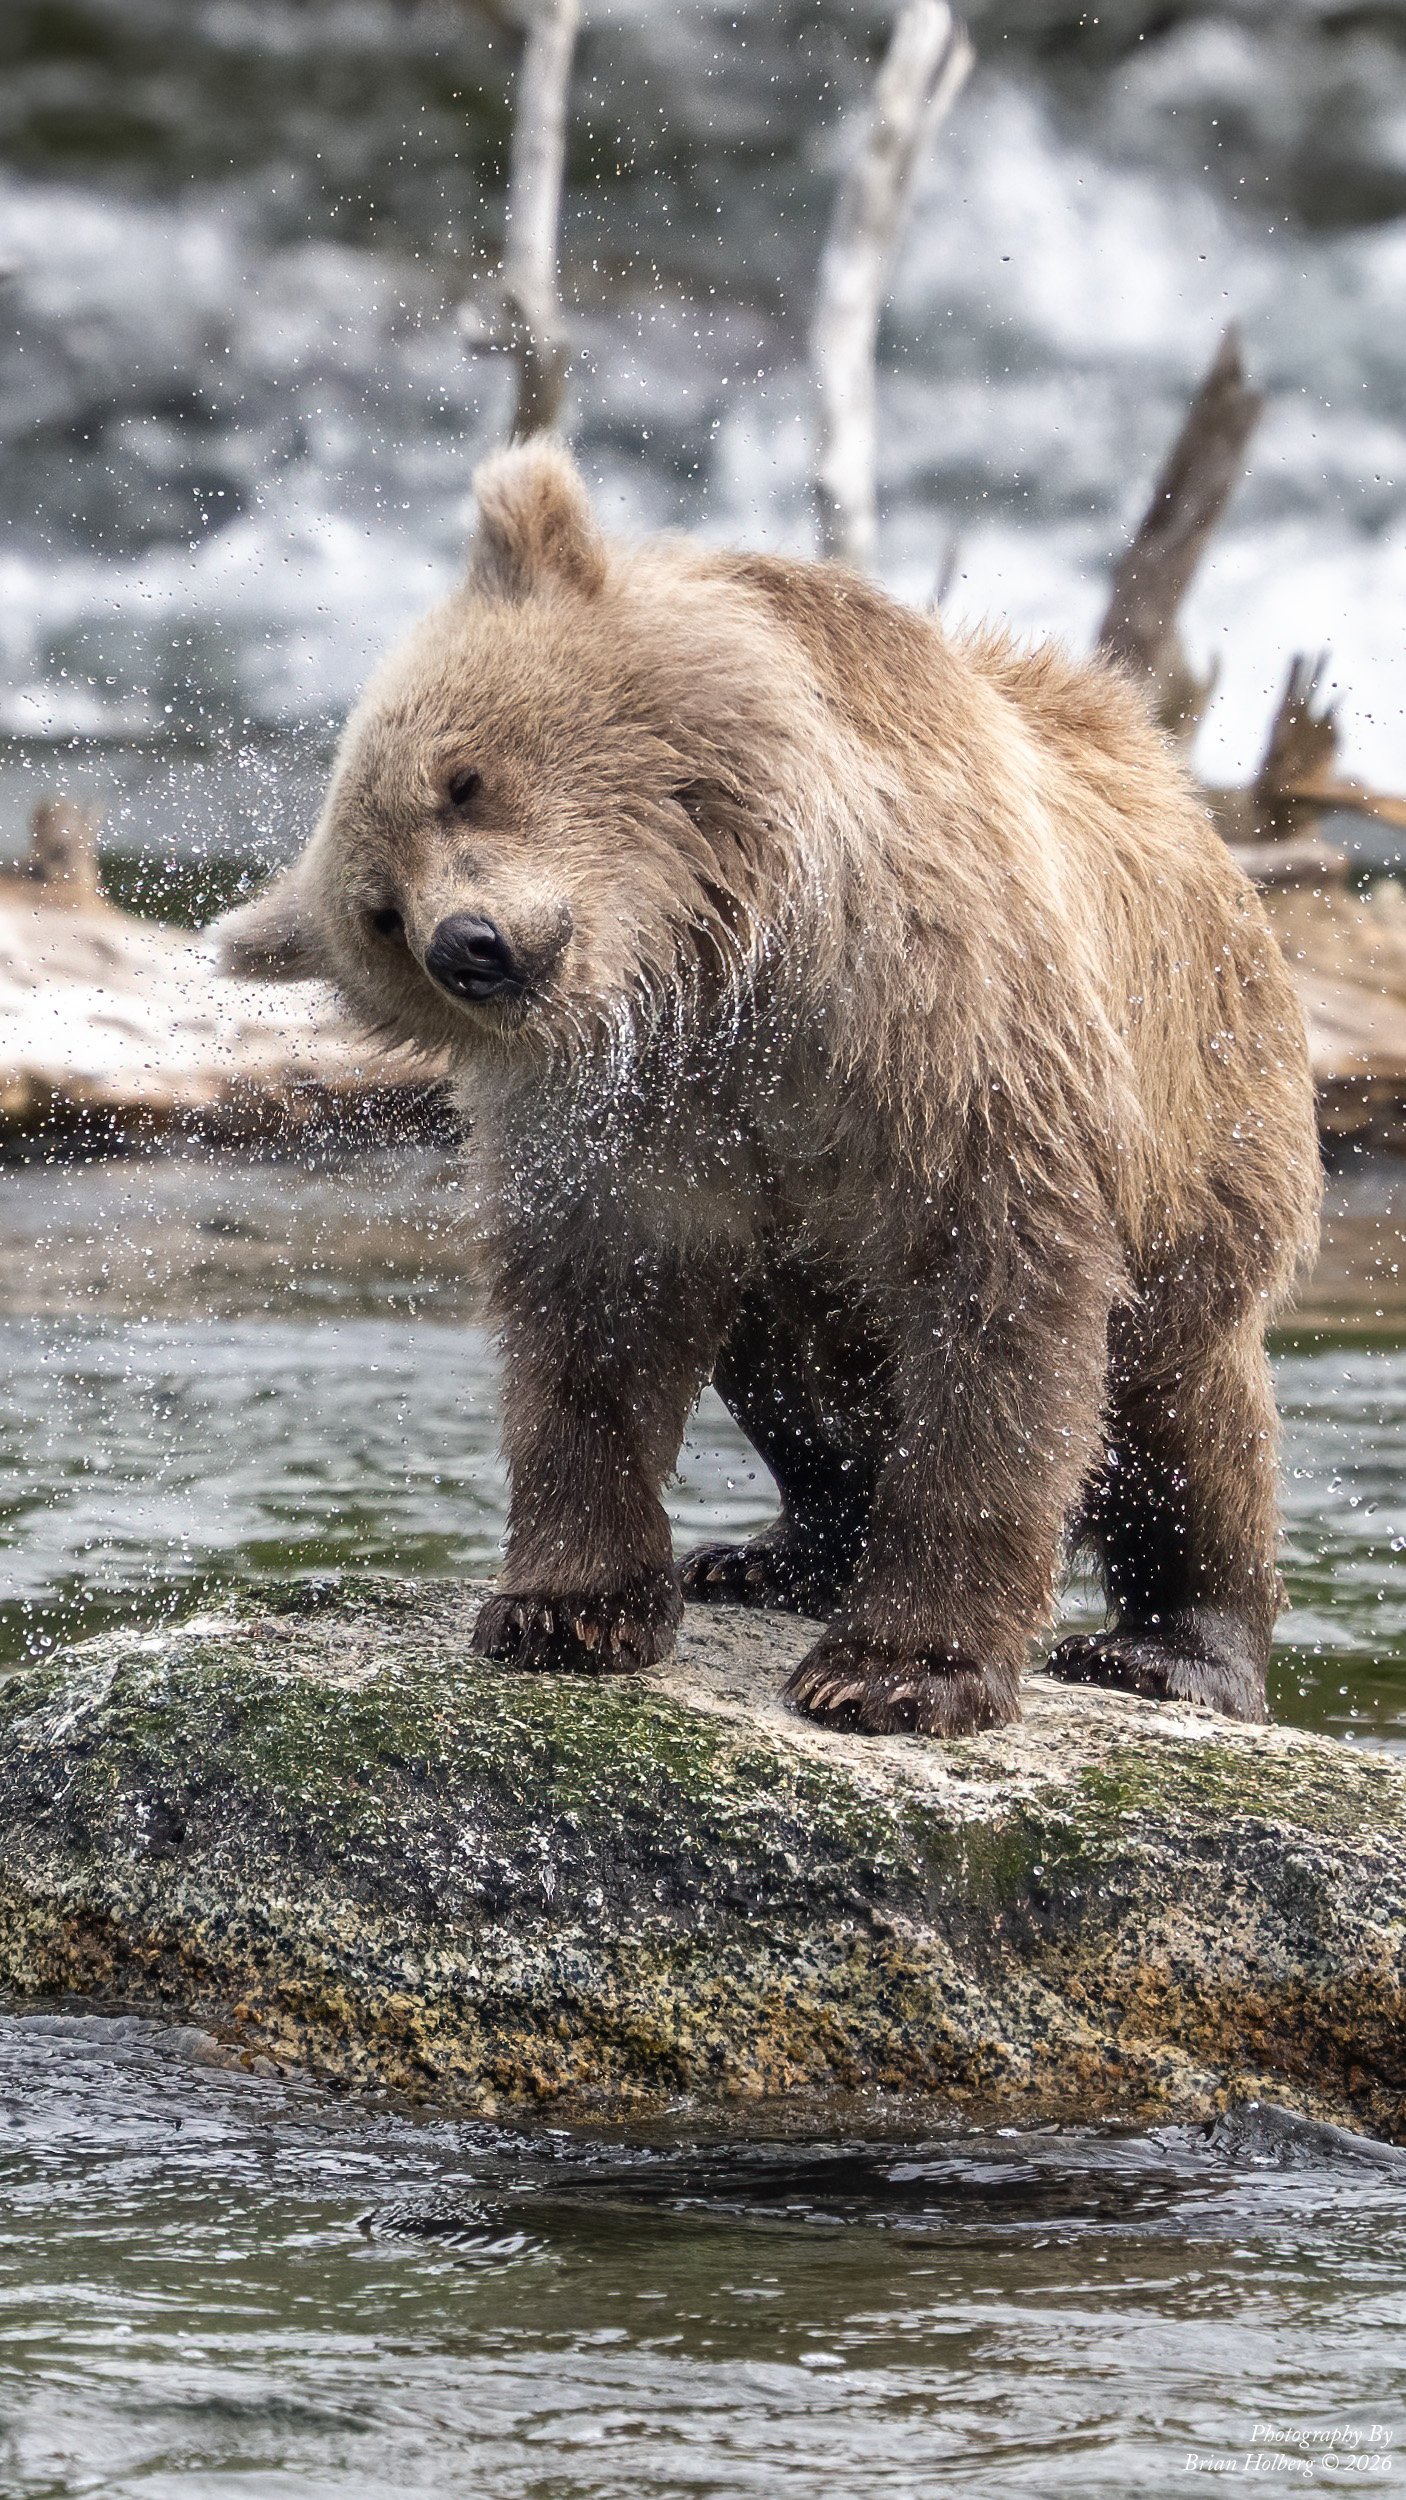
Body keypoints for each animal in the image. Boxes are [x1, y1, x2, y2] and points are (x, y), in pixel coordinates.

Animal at [217, 438, 1321, 1739]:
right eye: (379, 912)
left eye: (464, 779)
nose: (470, 944)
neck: (715, 971)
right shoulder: (635, 1126)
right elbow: (589, 1332)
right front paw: (563, 1607)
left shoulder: (943, 1032)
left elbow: (1001, 1314)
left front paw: (897, 1668)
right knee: (792, 1375)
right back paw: (771, 1553)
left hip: (1205, 1117)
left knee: (1179, 1402)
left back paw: (1172, 1645)